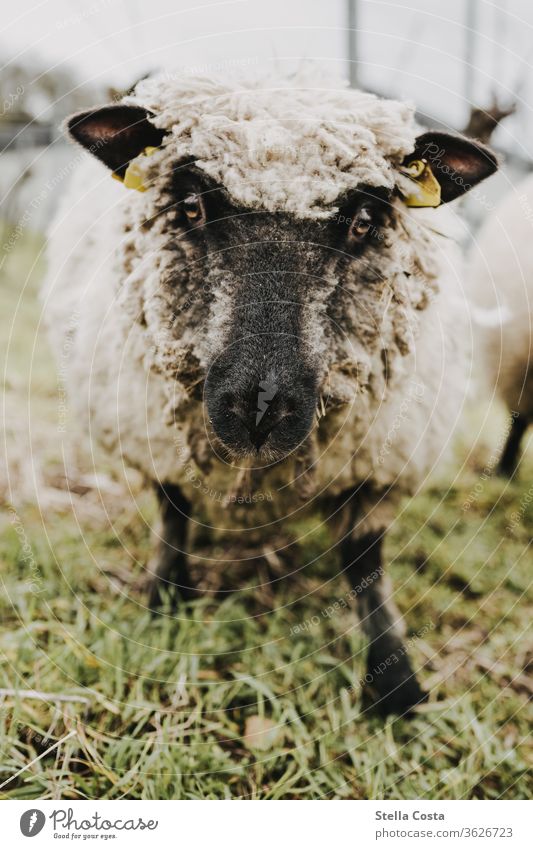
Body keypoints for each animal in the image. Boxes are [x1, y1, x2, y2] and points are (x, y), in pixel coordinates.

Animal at [42, 69, 498, 712]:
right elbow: (173, 514)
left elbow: (364, 558)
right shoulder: (155, 434)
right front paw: (164, 602)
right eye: (191, 206)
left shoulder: (380, 460)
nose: (259, 409)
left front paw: (395, 681)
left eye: (363, 221)